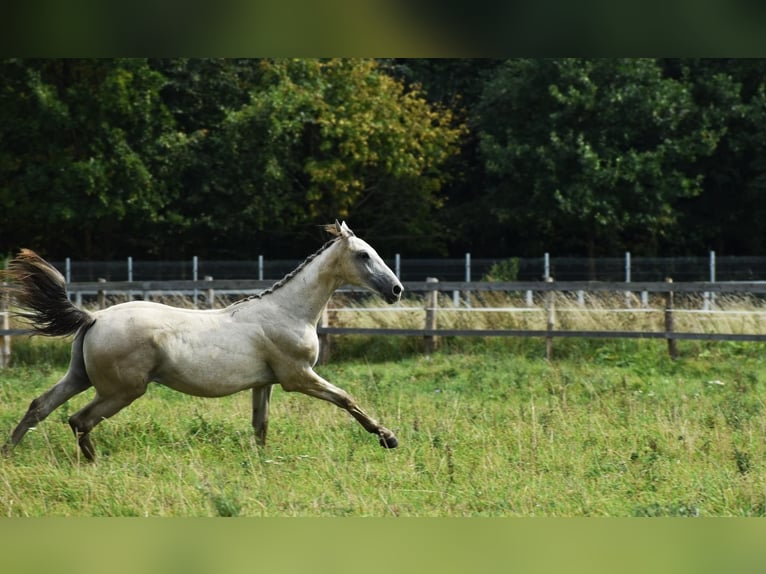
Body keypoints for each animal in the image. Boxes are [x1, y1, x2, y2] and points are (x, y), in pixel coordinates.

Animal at [0, 222, 404, 464]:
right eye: (363, 254)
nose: (396, 290)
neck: (288, 312)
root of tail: (94, 318)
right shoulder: (298, 377)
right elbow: (346, 398)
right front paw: (388, 438)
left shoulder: (265, 383)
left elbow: (260, 425)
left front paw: (260, 462)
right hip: (122, 391)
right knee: (78, 419)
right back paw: (94, 462)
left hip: (79, 377)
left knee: (40, 406)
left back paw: (9, 453)